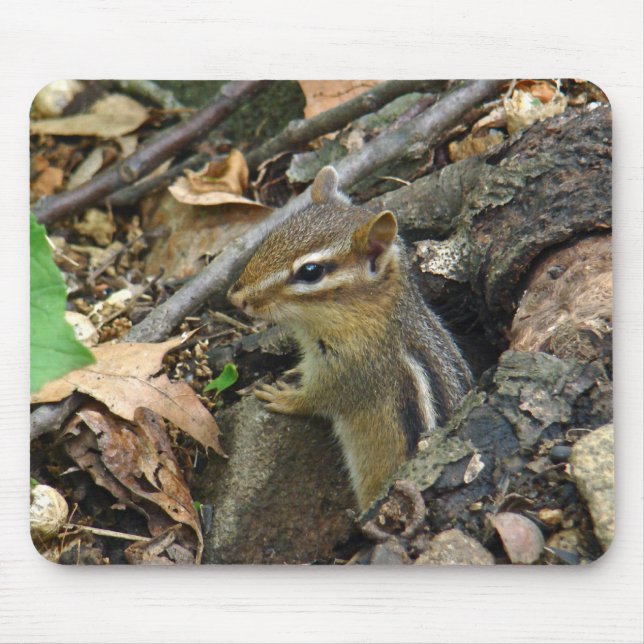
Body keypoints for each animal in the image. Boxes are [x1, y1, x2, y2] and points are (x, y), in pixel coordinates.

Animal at [228, 166, 473, 511]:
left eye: (310, 271)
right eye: (272, 237)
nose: (236, 299)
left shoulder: (355, 369)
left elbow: (320, 398)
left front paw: (284, 398)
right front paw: (295, 372)